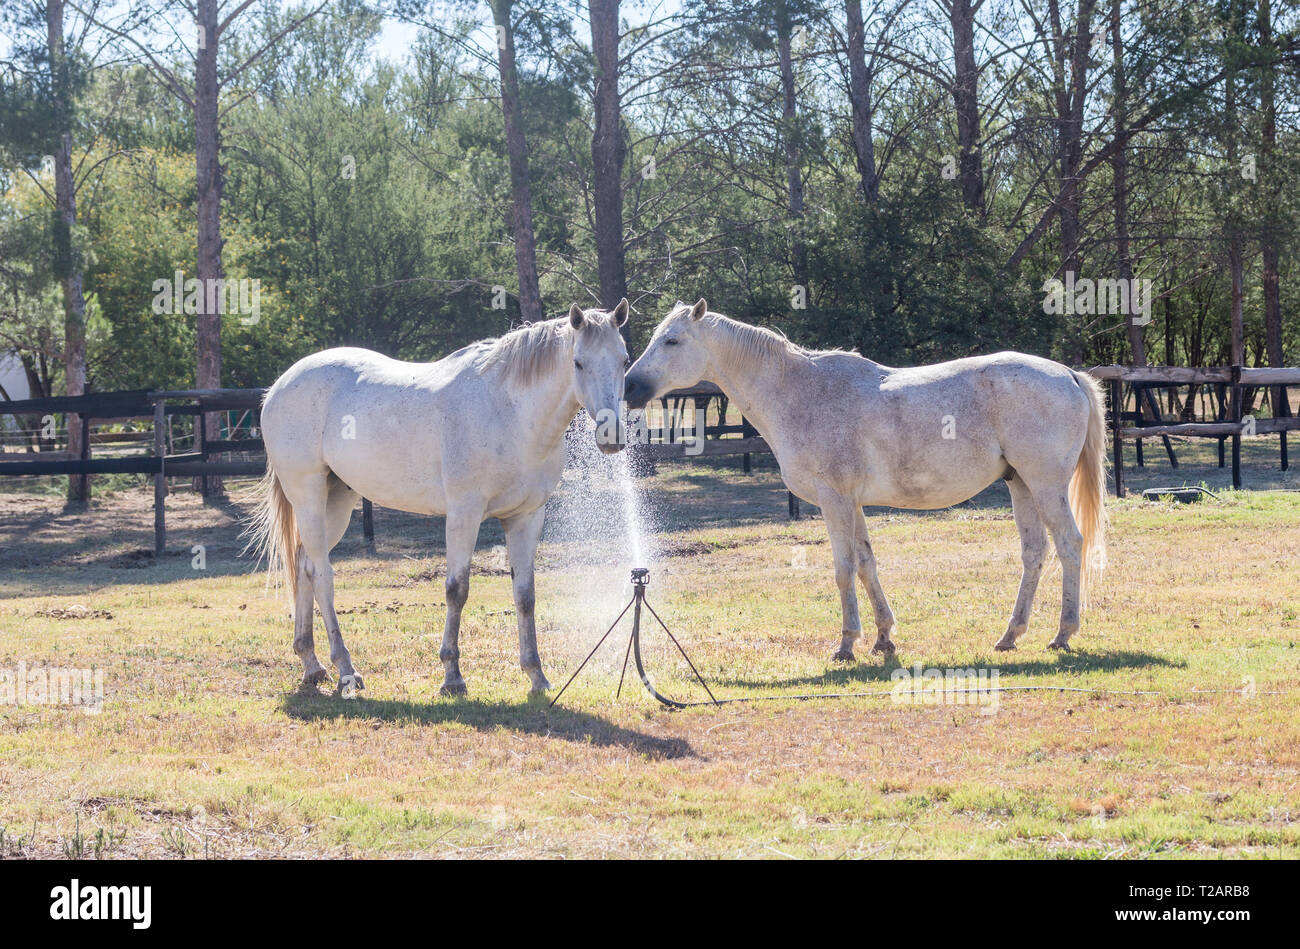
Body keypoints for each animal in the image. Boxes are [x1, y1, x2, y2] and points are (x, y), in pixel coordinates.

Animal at [246, 301, 631, 697]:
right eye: (578, 362)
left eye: (624, 359)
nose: (611, 435)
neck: (508, 411)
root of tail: (278, 388)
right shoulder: (464, 514)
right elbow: (456, 590)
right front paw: (452, 676)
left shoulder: (526, 518)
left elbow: (525, 595)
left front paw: (536, 676)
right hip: (308, 495)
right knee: (322, 575)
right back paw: (346, 670)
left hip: (336, 500)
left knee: (305, 565)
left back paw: (312, 665)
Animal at [624, 300, 1106, 660]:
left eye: (671, 340)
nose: (629, 386)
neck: (800, 392)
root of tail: (1069, 375)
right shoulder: (852, 502)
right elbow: (866, 564)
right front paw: (883, 638)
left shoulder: (834, 500)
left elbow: (843, 569)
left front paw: (846, 645)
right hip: (1020, 483)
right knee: (1034, 553)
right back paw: (1010, 636)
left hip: (1044, 485)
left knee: (1069, 544)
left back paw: (1063, 634)